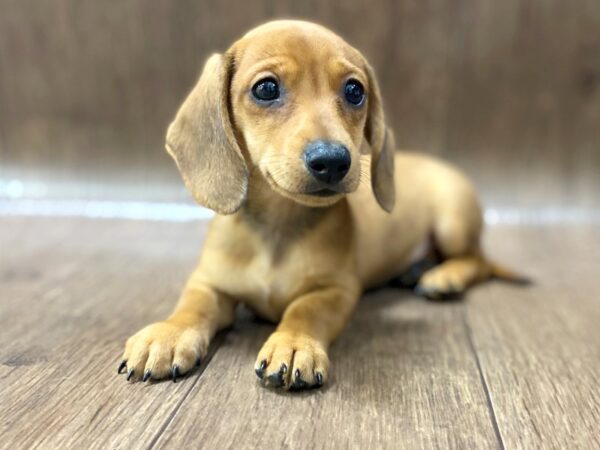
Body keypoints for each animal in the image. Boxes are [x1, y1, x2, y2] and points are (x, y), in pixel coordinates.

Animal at [118, 19, 520, 388]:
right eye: (266, 88)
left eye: (355, 91)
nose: (333, 161)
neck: (278, 231)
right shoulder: (209, 282)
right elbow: (192, 305)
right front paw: (168, 334)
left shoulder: (337, 291)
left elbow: (306, 310)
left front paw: (294, 343)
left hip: (453, 222)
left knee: (477, 261)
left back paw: (442, 276)